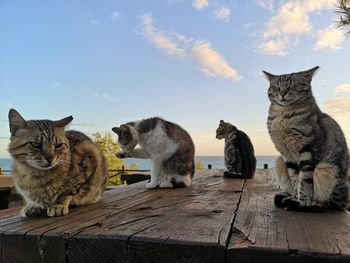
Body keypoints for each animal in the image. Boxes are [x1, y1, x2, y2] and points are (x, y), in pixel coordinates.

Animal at [264, 66, 348, 212]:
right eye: (276, 86)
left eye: (291, 85)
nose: (282, 93)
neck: (281, 114)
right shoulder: (287, 156)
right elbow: (295, 179)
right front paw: (295, 197)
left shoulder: (308, 148)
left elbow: (304, 180)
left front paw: (302, 202)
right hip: (279, 161)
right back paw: (287, 197)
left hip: (325, 167)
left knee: (330, 204)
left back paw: (313, 205)